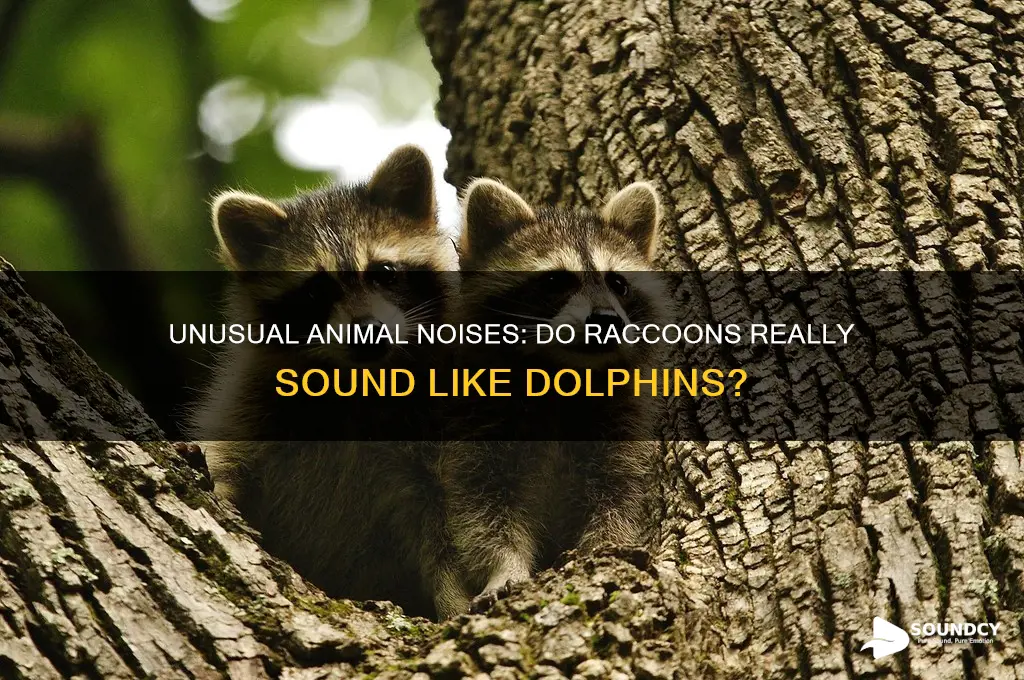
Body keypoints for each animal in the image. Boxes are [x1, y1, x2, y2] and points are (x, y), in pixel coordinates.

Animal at [193, 145, 469, 619]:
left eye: (384, 272)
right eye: (315, 291)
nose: (367, 331)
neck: (360, 381)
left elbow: (444, 526)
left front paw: (456, 599)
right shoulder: (253, 403)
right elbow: (230, 456)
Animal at [443, 179, 672, 611]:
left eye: (618, 283)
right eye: (554, 282)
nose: (606, 319)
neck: (562, 375)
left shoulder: (620, 425)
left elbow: (619, 498)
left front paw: (604, 547)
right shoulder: (476, 422)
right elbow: (481, 512)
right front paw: (504, 566)